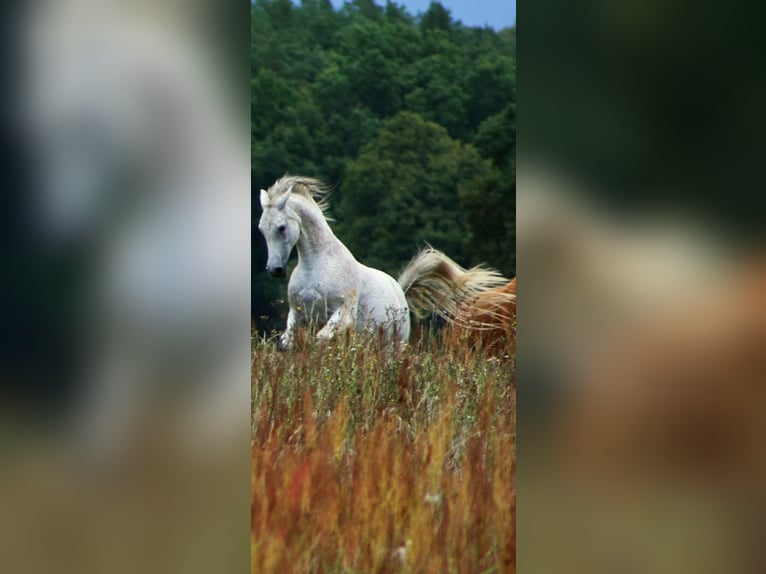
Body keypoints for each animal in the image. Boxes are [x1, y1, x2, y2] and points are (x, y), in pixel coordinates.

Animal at [260, 176, 510, 348]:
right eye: (261, 228)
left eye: (281, 228)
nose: (275, 270)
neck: (318, 264)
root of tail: (399, 289)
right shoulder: (298, 314)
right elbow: (287, 340)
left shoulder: (343, 314)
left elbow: (320, 339)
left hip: (394, 346)